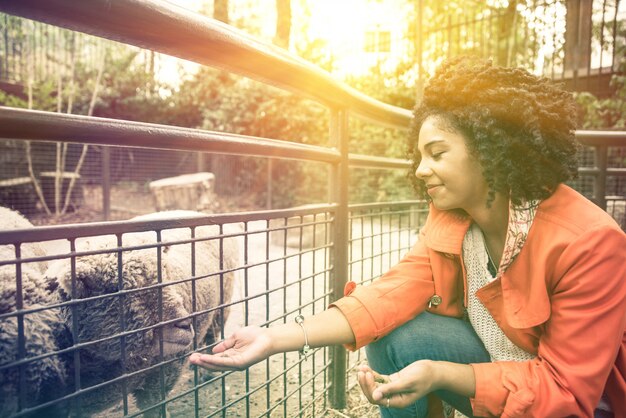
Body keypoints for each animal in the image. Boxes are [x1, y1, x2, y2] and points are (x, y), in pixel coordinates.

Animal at [43, 211, 239, 416]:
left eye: (166, 275)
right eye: (117, 289)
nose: (185, 325)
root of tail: (200, 214)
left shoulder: (163, 373)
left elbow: (155, 407)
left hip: (222, 303)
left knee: (212, 334)